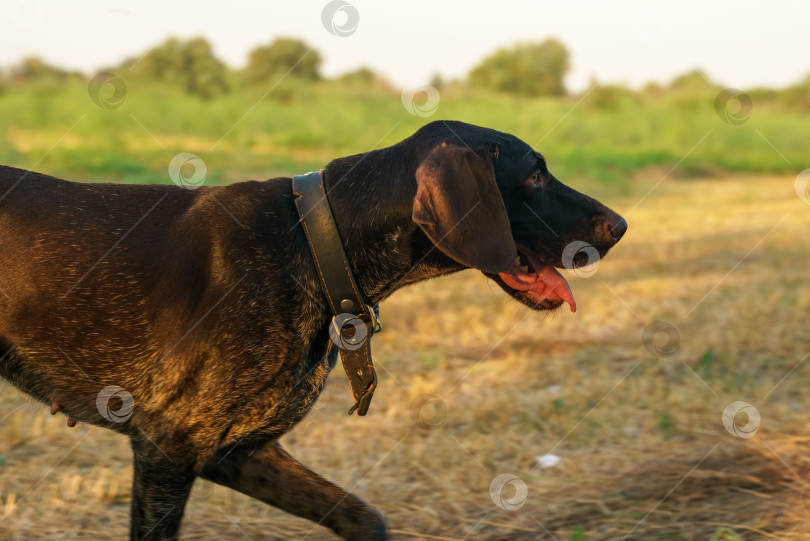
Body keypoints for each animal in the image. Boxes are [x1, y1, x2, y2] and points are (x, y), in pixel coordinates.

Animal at [0, 120, 624, 536]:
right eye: (535, 174)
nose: (620, 225)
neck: (313, 239)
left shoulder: (235, 450)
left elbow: (363, 516)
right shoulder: (166, 445)